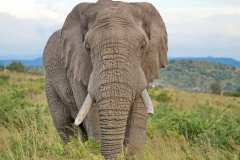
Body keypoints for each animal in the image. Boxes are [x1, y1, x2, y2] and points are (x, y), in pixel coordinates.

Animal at [42, 0, 167, 159]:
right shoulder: (77, 68)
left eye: (143, 45)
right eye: (87, 47)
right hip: (50, 84)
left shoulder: (145, 66)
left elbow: (138, 115)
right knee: (65, 125)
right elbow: (92, 115)